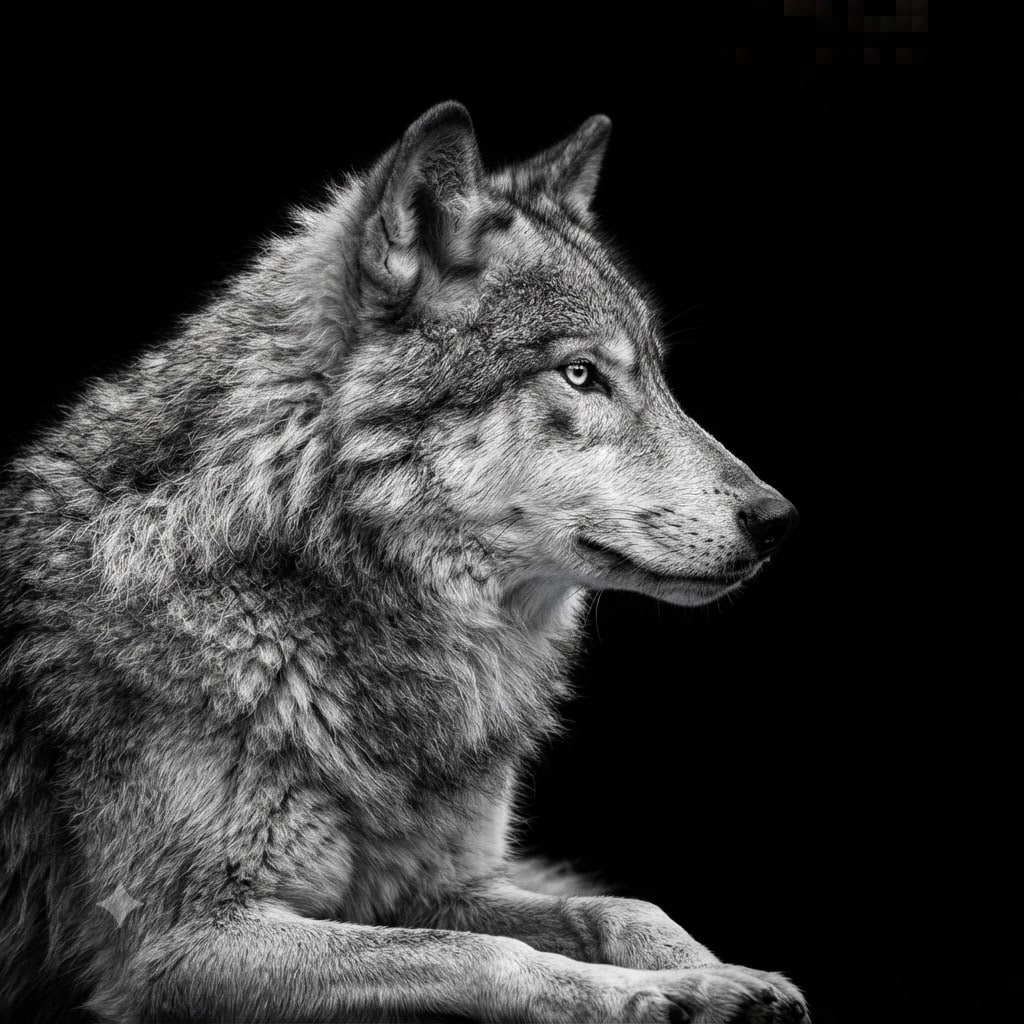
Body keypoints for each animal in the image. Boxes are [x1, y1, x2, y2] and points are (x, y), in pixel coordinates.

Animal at [0, 102, 805, 1023]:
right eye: (579, 374)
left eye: (662, 380)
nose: (778, 520)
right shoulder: (179, 947)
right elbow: (483, 956)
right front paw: (647, 997)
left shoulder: (436, 885)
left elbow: (621, 906)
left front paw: (713, 973)